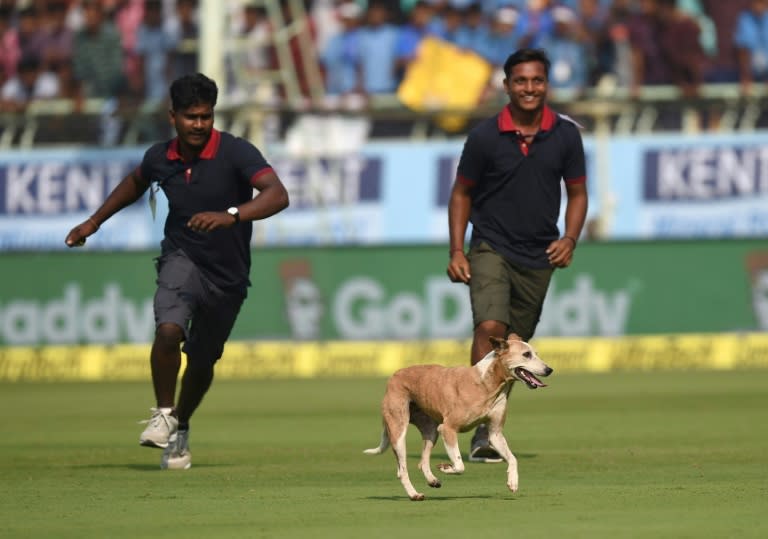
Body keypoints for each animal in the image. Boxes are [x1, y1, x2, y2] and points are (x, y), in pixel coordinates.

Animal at [364, 336, 552, 504]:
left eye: (536, 353)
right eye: (526, 354)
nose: (549, 370)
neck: (486, 383)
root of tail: (395, 375)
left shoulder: (495, 434)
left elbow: (513, 458)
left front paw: (513, 482)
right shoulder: (448, 429)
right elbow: (460, 465)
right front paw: (446, 468)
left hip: (431, 431)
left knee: (422, 461)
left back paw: (432, 480)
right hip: (399, 432)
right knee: (402, 470)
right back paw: (414, 494)